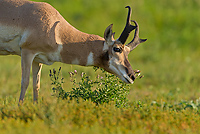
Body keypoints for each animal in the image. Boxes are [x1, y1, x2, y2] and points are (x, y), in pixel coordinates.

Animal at [0, 0, 147, 102]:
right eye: (117, 48)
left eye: (127, 52)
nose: (132, 76)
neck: (55, 30)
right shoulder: (27, 53)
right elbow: (24, 82)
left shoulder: (38, 59)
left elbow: (36, 85)